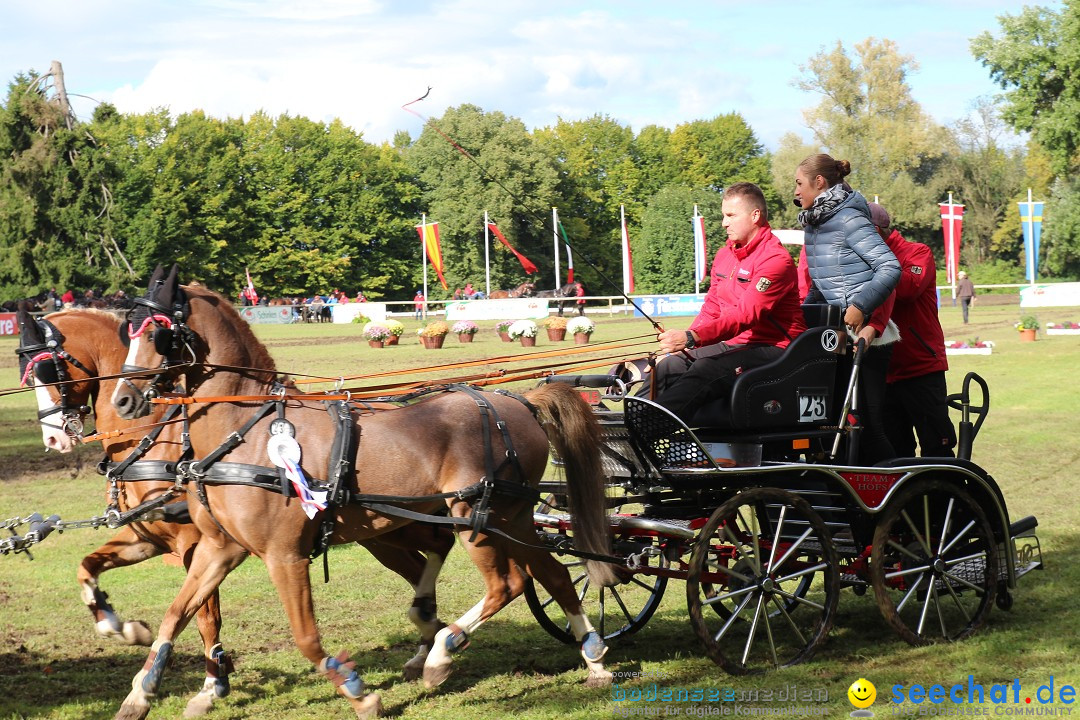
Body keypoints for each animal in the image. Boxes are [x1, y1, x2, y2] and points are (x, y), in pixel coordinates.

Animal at [15, 306, 455, 716]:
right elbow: (88, 568)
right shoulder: (149, 538)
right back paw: (428, 645)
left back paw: (434, 644)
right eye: (26, 371)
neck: (157, 438)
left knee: (437, 548)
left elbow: (205, 616)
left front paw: (212, 685)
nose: (53, 439)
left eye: (49, 369)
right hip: (381, 534)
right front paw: (123, 629)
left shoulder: (195, 543)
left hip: (391, 528)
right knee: (424, 562)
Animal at [109, 266, 617, 720]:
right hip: (513, 517)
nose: (122, 400)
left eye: (157, 333)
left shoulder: (284, 556)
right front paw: (141, 692)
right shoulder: (220, 548)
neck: (246, 431)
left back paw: (441, 653)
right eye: (127, 329)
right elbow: (176, 614)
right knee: (553, 574)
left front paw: (358, 692)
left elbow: (305, 637)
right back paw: (592, 657)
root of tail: (521, 402)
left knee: (507, 584)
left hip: (478, 515)